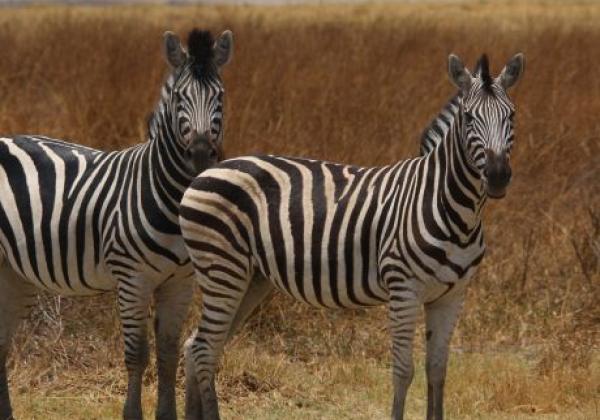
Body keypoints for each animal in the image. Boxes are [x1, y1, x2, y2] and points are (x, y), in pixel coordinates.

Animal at [0, 27, 232, 418]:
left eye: (220, 96)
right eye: (180, 97)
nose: (201, 155)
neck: (168, 197)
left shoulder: (180, 283)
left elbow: (168, 354)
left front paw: (165, 414)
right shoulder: (132, 279)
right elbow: (137, 355)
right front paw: (132, 414)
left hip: (15, 274)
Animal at [179, 53, 524, 420]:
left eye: (512, 116)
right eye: (470, 118)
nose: (498, 176)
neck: (451, 209)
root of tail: (206, 171)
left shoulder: (451, 295)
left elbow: (437, 370)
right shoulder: (404, 288)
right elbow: (404, 371)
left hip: (249, 279)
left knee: (197, 345)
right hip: (223, 268)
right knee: (204, 350)